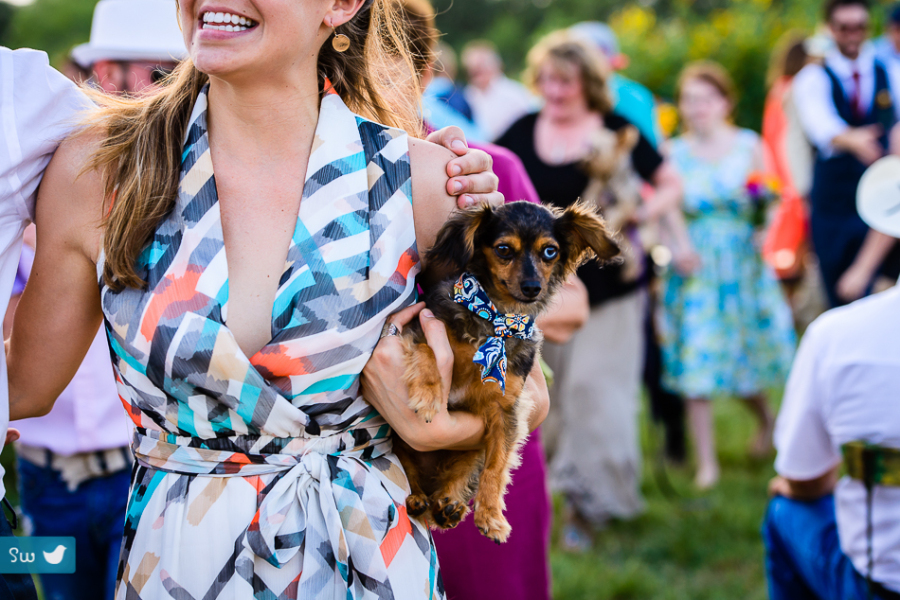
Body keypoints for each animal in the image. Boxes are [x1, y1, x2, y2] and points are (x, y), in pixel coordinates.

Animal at [394, 199, 620, 540]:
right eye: (503, 249)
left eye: (550, 252)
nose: (532, 287)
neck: (496, 319)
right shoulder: (418, 329)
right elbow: (429, 353)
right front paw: (429, 398)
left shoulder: (507, 410)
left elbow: (496, 467)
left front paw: (490, 516)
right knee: (408, 469)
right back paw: (419, 498)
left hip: (470, 449)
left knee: (460, 476)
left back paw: (448, 505)